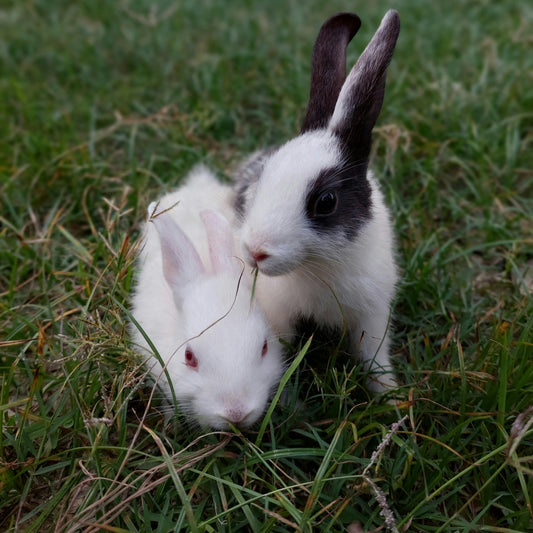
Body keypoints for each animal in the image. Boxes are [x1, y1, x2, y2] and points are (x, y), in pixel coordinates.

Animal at [232, 9, 400, 390]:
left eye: (326, 202)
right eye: (266, 175)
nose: (256, 252)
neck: (319, 265)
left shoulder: (373, 313)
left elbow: (374, 358)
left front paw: (392, 396)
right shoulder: (277, 311)